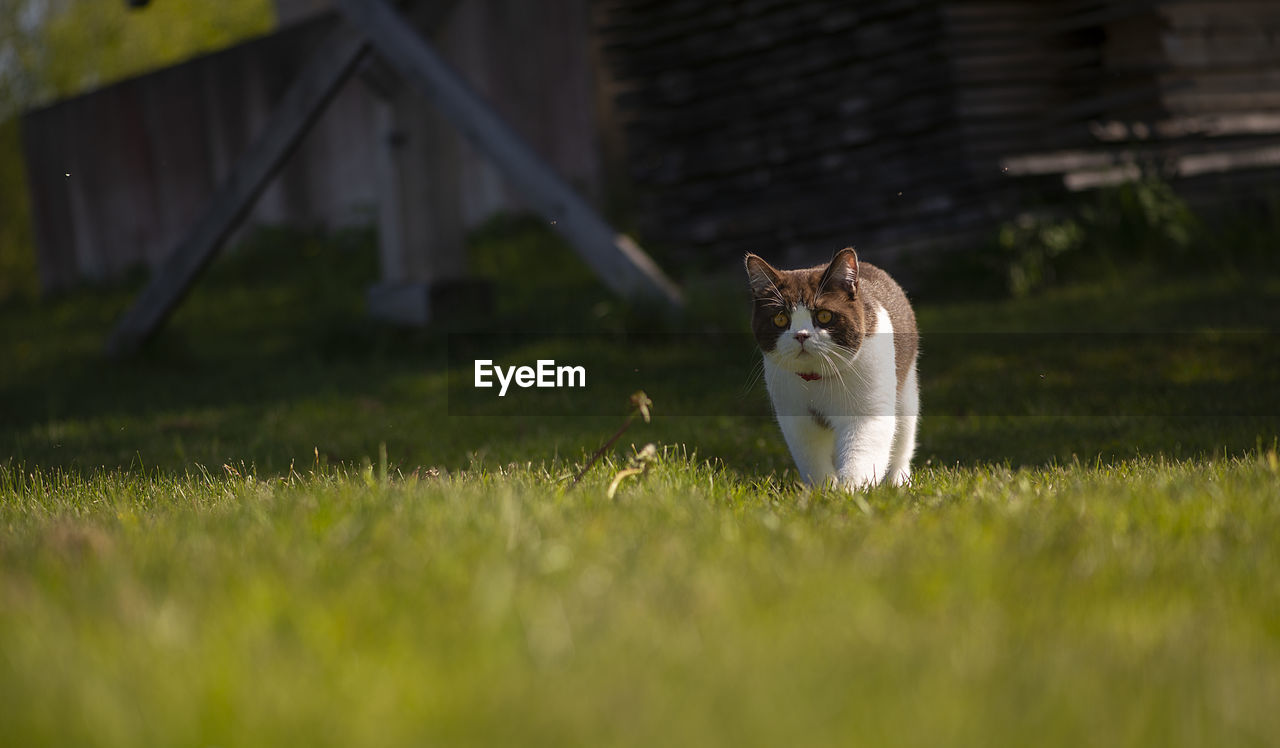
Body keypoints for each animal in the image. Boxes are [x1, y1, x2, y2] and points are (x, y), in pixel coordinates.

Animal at [742, 247, 921, 491]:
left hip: (906, 388)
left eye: (824, 315)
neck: (817, 377)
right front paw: (823, 490)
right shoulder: (796, 416)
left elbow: (863, 448)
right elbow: (811, 457)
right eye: (780, 319)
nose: (801, 335)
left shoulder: (868, 407)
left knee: (903, 438)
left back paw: (898, 481)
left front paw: (852, 490)